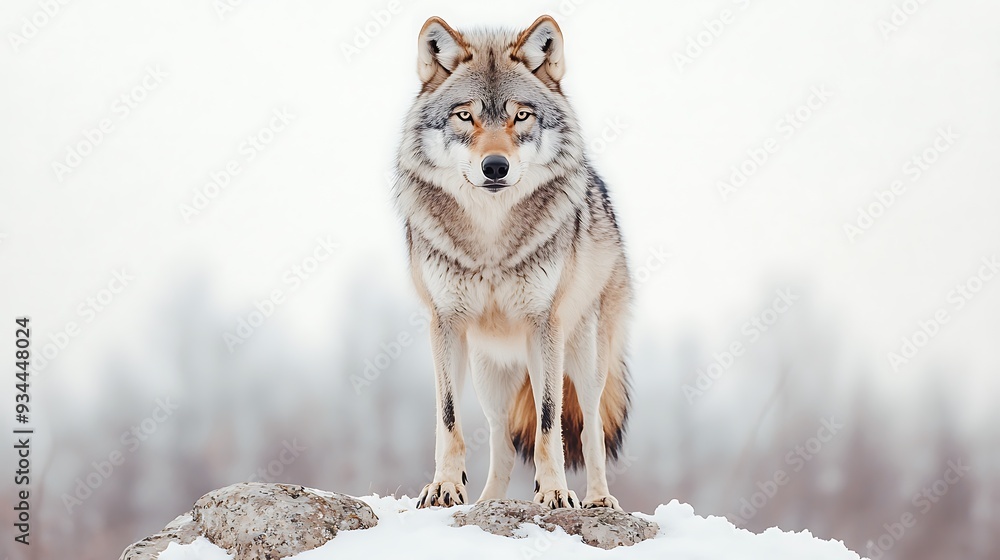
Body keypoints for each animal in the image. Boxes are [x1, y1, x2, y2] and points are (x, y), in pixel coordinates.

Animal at [393, 15, 631, 510]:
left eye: (520, 115)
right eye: (465, 115)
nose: (495, 167)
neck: (491, 240)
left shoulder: (546, 324)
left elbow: (549, 421)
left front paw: (556, 491)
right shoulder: (444, 323)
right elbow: (448, 418)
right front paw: (444, 487)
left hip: (583, 360)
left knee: (590, 429)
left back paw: (599, 500)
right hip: (491, 376)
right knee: (501, 442)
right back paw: (487, 504)